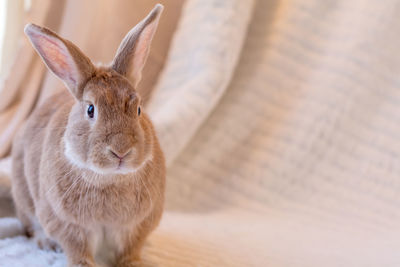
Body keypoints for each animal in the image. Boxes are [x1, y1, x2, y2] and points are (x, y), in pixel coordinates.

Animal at [11, 4, 166, 267]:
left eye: (138, 110)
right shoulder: (68, 225)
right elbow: (77, 250)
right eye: (90, 110)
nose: (121, 150)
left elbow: (130, 250)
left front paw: (134, 263)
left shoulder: (135, 227)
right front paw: (81, 264)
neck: (109, 178)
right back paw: (46, 244)